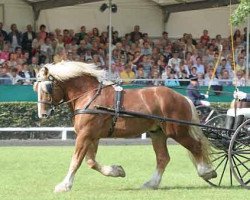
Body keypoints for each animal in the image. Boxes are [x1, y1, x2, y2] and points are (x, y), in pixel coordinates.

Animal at [33, 61, 217, 192]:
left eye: (47, 88)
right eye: (36, 88)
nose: (42, 114)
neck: (90, 96)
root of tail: (182, 97)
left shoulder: (85, 135)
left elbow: (76, 160)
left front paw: (64, 185)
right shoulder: (91, 136)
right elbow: (91, 162)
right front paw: (117, 171)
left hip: (177, 131)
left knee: (196, 146)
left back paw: (206, 171)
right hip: (158, 133)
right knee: (163, 158)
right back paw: (151, 183)